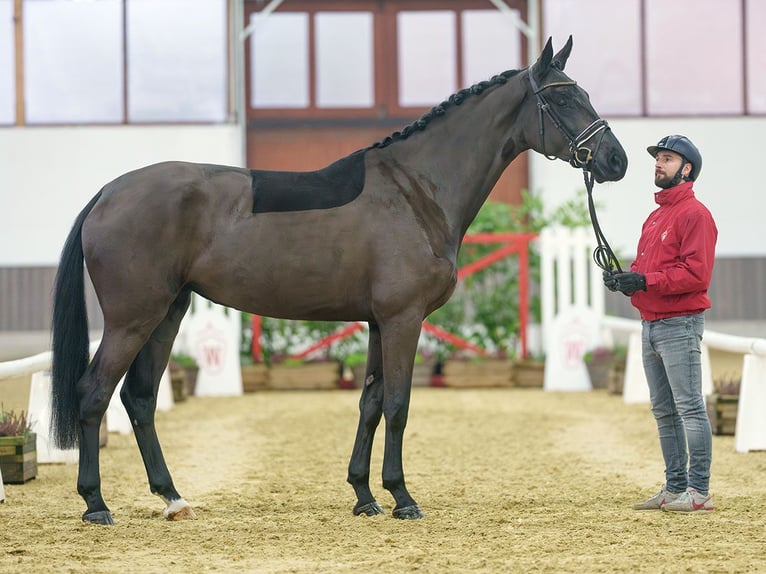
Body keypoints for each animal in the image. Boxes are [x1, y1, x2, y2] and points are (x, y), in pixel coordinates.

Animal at [52, 38, 632, 528]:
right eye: (563, 99)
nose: (616, 160)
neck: (416, 190)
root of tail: (108, 193)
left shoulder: (378, 323)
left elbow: (371, 405)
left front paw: (365, 495)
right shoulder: (402, 320)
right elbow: (398, 404)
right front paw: (402, 498)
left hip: (168, 313)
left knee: (140, 398)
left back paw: (173, 499)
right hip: (134, 318)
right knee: (94, 392)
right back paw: (96, 505)